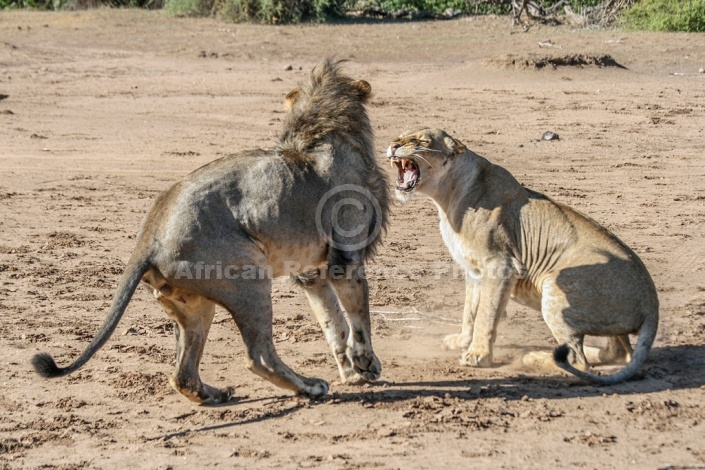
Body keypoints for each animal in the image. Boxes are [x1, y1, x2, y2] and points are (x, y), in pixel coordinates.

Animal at [30, 58, 388, 404]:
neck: (320, 131)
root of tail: (148, 237)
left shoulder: (311, 271)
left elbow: (333, 323)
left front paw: (351, 372)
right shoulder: (345, 257)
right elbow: (358, 318)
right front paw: (366, 363)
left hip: (194, 305)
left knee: (182, 374)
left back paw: (216, 394)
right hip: (249, 278)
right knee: (258, 356)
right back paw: (310, 387)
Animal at [384, 126, 656, 384]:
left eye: (421, 141)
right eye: (399, 136)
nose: (393, 145)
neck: (447, 196)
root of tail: (652, 304)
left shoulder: (499, 265)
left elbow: (485, 314)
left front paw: (478, 355)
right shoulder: (474, 270)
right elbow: (470, 311)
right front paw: (462, 341)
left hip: (556, 287)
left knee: (580, 363)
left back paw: (533, 357)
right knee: (618, 353)